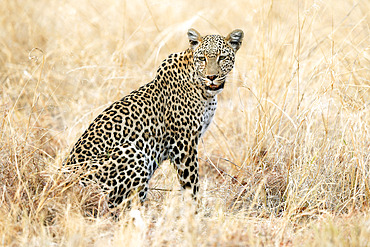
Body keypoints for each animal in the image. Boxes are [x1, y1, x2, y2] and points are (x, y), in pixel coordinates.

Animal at [64, 28, 243, 207]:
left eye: (222, 57)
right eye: (202, 59)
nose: (211, 77)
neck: (205, 92)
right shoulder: (184, 143)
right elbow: (191, 183)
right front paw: (197, 210)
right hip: (132, 153)